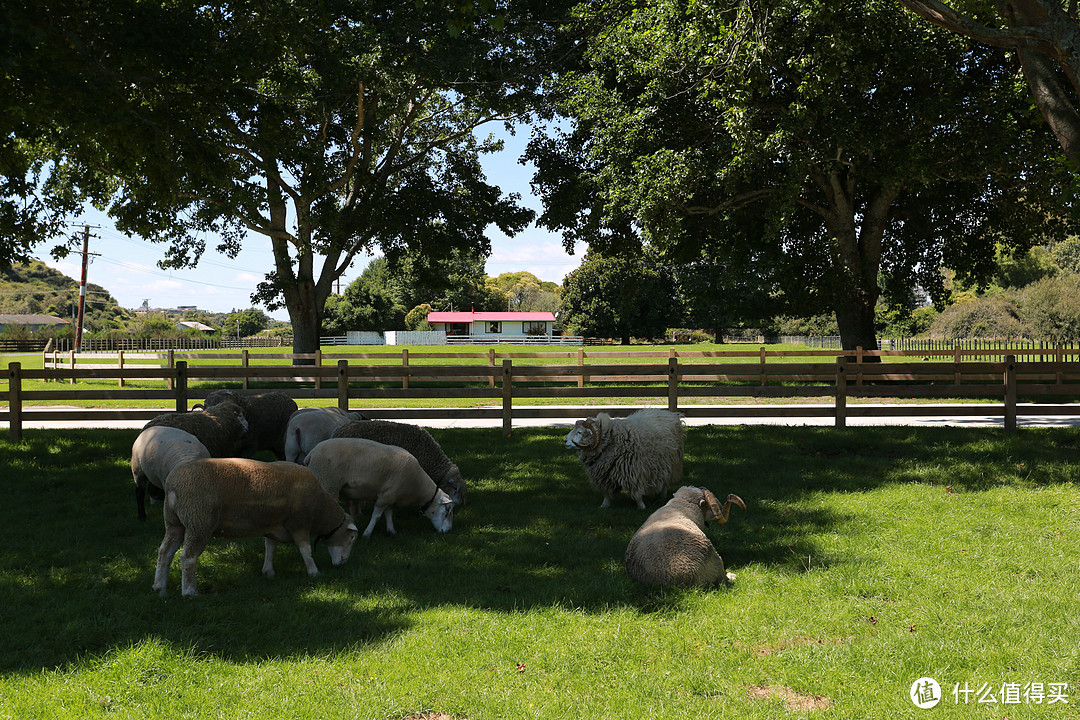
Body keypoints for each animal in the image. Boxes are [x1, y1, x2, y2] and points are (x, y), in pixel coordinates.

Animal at [152, 459, 358, 600]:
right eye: (351, 539)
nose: (344, 564)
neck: (320, 510)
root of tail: (173, 485)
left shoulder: (273, 525)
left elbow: (270, 548)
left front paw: (268, 572)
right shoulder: (299, 523)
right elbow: (305, 550)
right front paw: (314, 572)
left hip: (174, 522)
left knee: (164, 552)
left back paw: (160, 588)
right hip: (198, 522)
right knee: (188, 558)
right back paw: (189, 592)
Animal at [302, 436, 453, 537]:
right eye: (447, 511)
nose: (447, 531)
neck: (417, 486)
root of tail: (311, 453)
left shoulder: (391, 495)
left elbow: (388, 513)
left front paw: (391, 531)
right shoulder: (385, 495)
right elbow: (377, 515)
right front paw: (367, 534)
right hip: (327, 482)